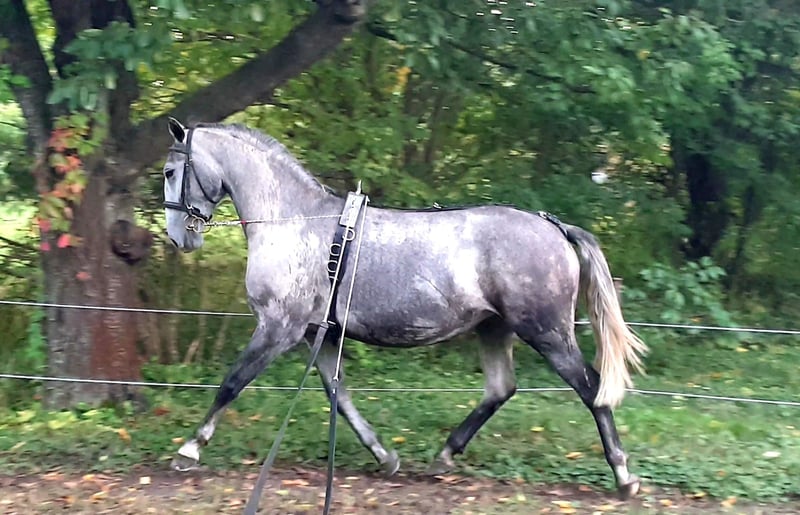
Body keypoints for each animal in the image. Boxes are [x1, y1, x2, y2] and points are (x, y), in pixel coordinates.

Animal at [161, 118, 647, 498]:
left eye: (169, 170)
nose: (179, 237)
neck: (293, 221)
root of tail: (555, 227)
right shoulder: (319, 334)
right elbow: (340, 397)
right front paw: (385, 456)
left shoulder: (280, 327)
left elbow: (232, 383)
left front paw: (189, 449)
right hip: (495, 328)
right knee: (500, 389)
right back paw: (444, 456)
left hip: (547, 332)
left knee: (590, 387)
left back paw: (624, 476)